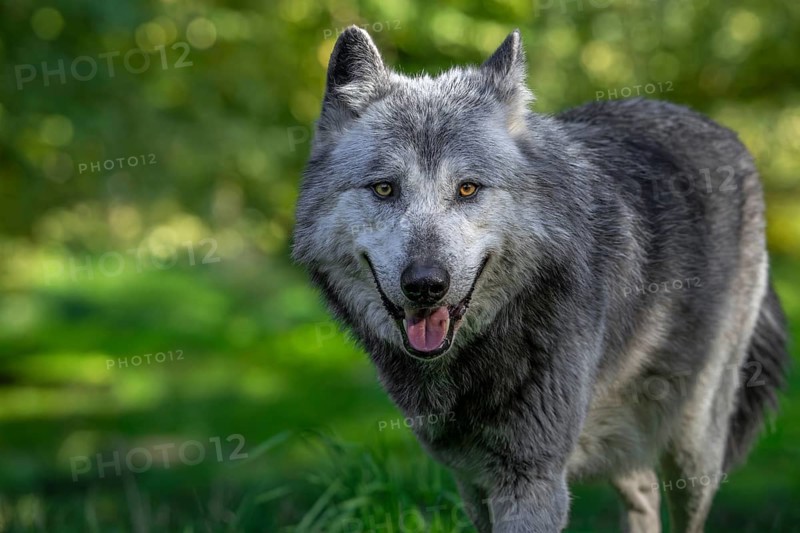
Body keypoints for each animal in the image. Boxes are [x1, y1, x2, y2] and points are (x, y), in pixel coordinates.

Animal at [292, 26, 789, 532]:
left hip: (693, 444)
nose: (426, 285)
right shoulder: (471, 478)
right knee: (642, 488)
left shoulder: (533, 479)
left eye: (467, 188)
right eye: (384, 188)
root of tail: (719, 128)